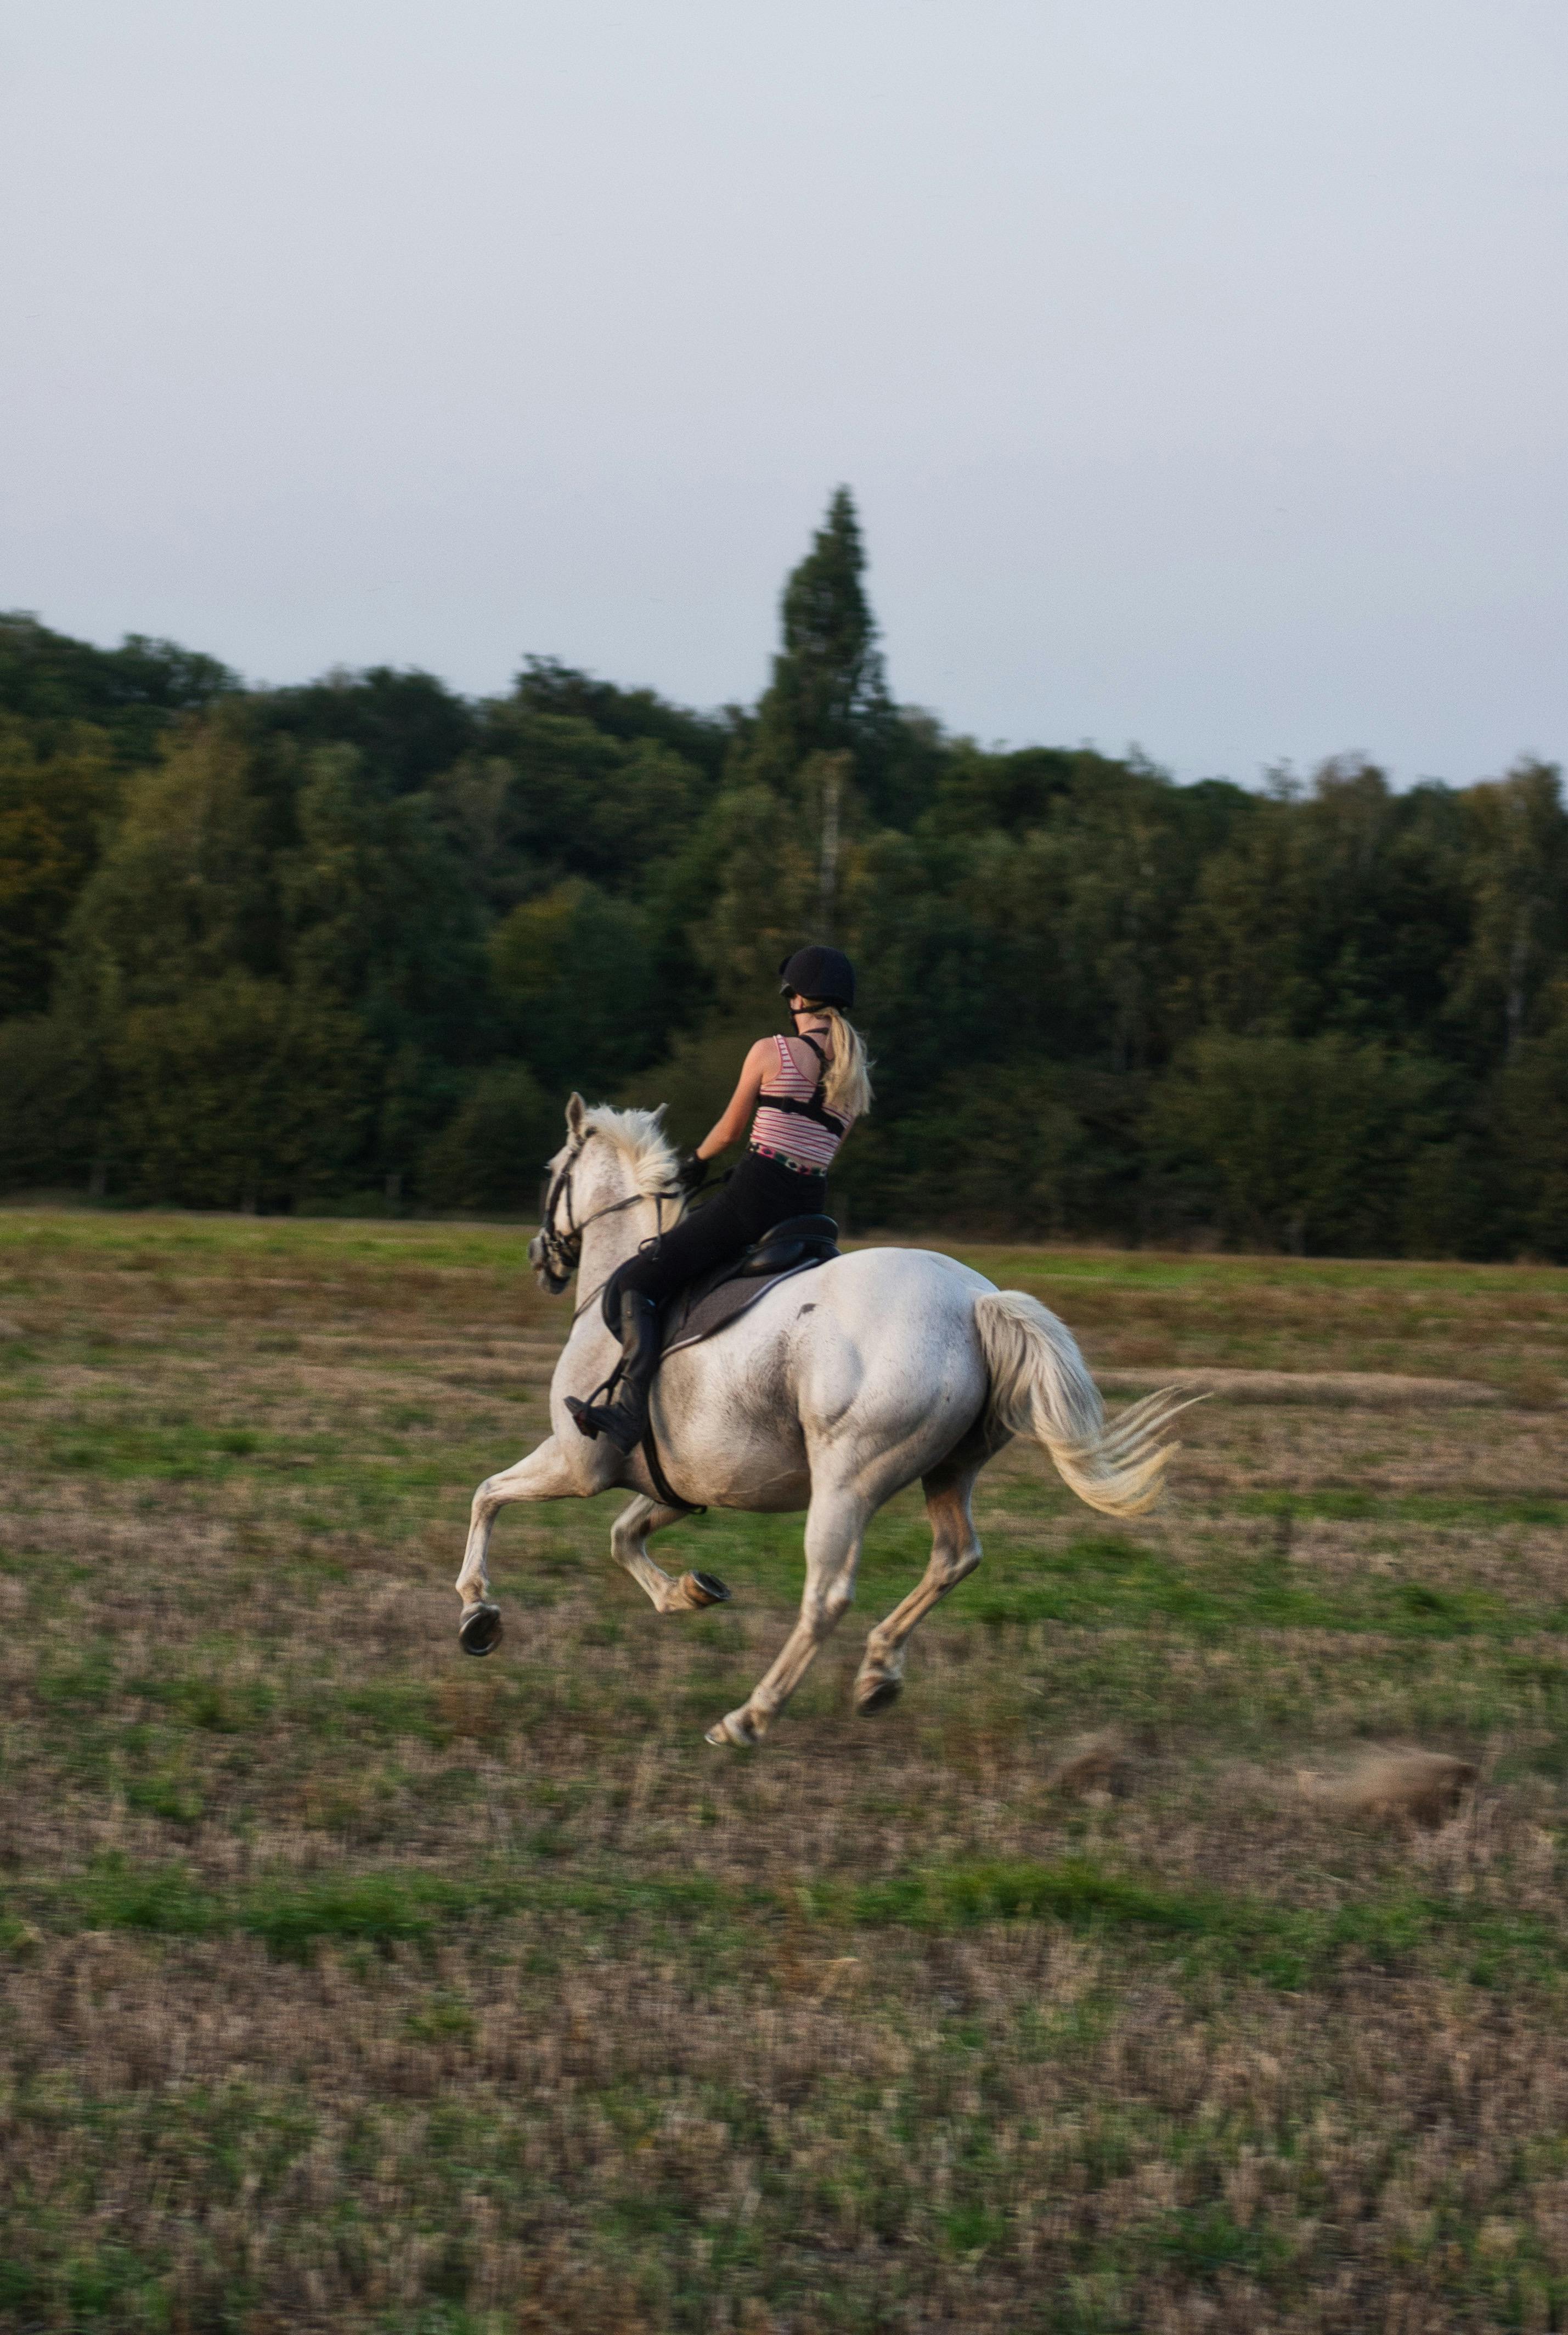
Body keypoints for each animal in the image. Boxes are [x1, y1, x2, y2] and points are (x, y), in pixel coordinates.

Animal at [453, 1102, 1190, 1746]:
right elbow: (621, 1535)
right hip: (949, 1469)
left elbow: (487, 1494)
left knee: (827, 1595)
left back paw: (748, 1718)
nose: (539, 1256)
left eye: (553, 1169)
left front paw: (477, 1614)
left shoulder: (578, 1463)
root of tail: (975, 1301)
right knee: (955, 1556)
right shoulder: (687, 1484)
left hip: (847, 1482)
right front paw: (687, 1592)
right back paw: (878, 1673)